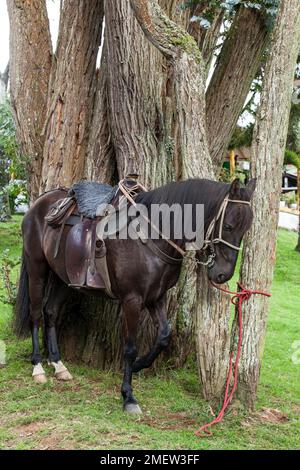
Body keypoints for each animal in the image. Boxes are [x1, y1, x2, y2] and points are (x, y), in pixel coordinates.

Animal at [12, 178, 254, 414]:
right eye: (228, 226)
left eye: (246, 229)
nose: (223, 274)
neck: (151, 237)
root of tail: (39, 203)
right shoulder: (132, 299)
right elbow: (129, 348)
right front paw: (128, 396)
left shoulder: (156, 297)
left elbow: (164, 335)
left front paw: (139, 366)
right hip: (37, 269)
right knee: (36, 315)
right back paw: (38, 367)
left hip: (64, 277)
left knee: (50, 312)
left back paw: (58, 364)